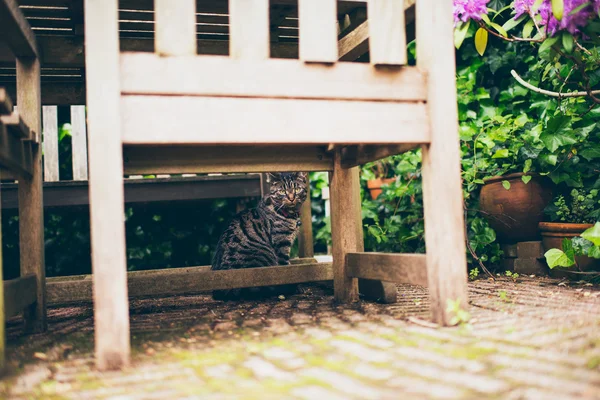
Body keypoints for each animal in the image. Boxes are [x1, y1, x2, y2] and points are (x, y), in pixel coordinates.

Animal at [211, 172, 310, 300]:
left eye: (297, 189)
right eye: (282, 191)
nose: (291, 198)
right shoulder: (282, 242)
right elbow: (286, 267)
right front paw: (295, 285)